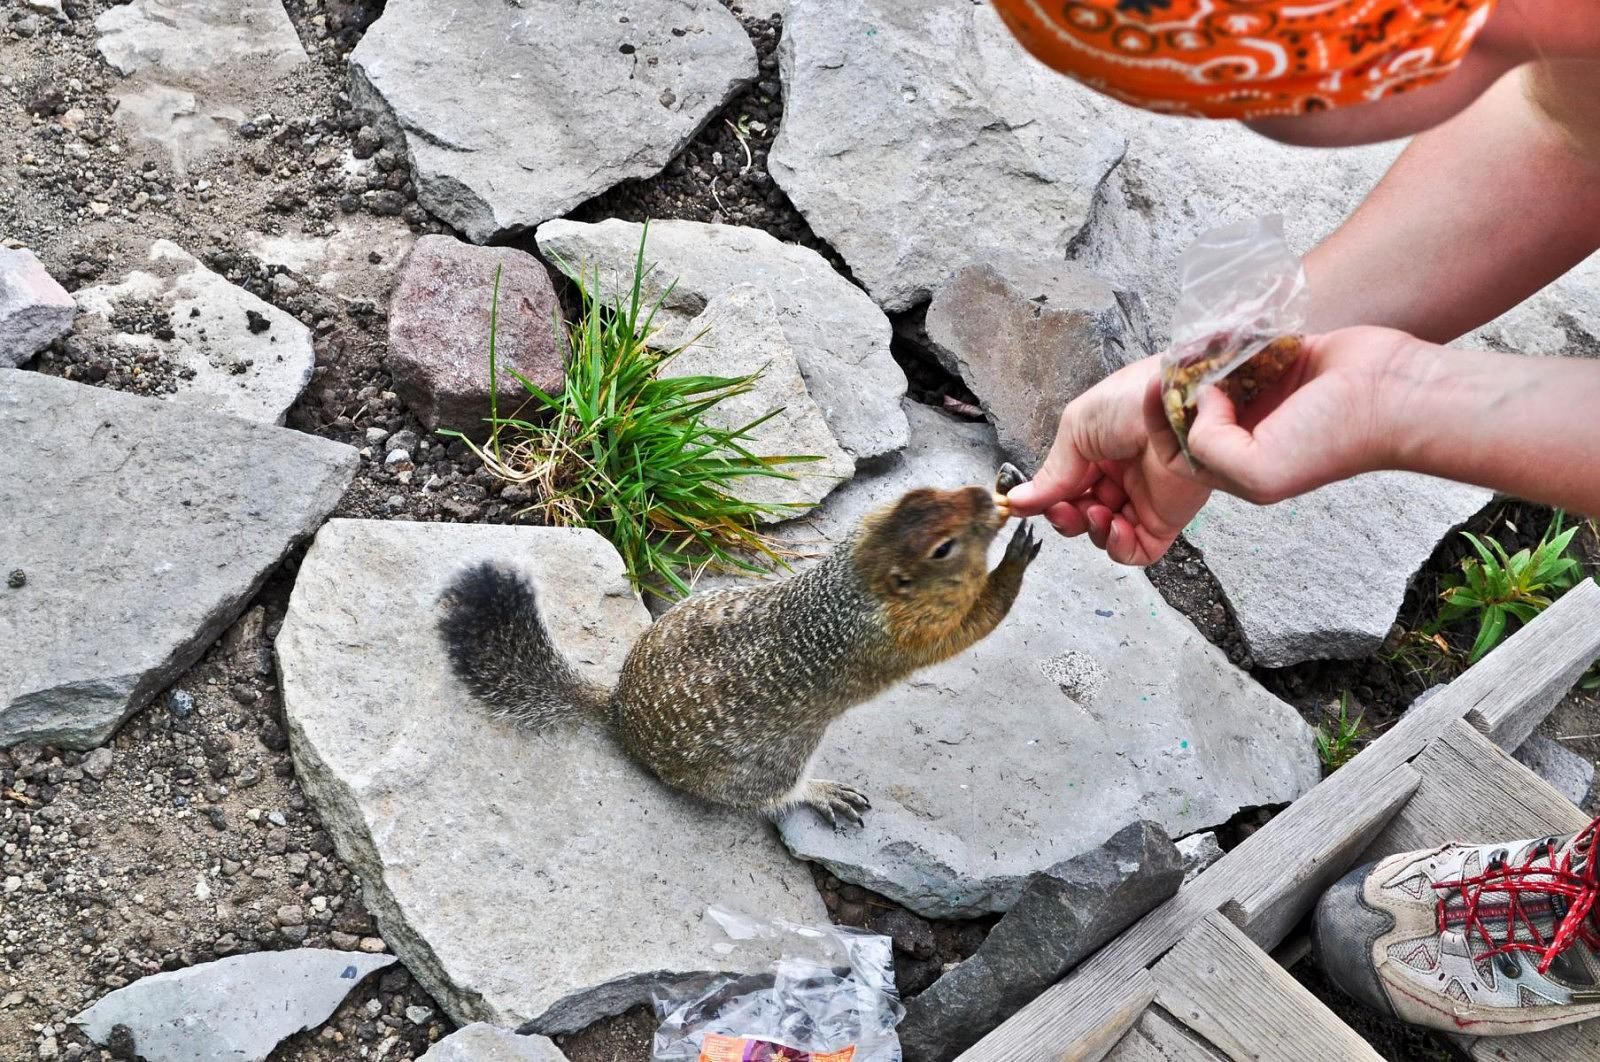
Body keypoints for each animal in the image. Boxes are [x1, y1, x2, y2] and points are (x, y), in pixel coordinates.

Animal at [438, 463, 1036, 818]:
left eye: (927, 492)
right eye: (943, 548)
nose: (981, 496)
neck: (858, 577)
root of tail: (617, 712)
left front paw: (1008, 484)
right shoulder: (910, 630)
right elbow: (971, 624)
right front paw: (1015, 553)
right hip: (775, 762)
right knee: (775, 797)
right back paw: (824, 793)